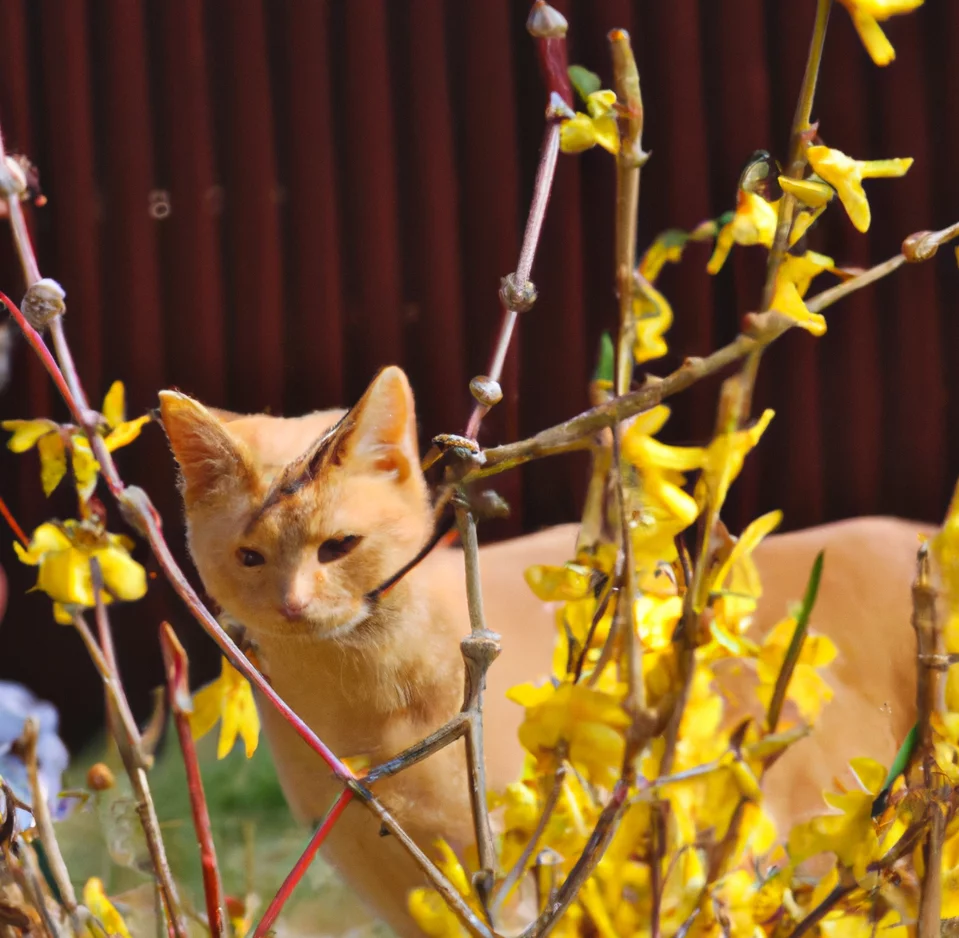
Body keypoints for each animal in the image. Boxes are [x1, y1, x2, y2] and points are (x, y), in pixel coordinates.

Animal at [159, 368, 928, 936]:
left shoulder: (518, 891)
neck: (361, 705)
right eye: (249, 558)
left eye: (337, 547)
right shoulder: (410, 900)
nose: (291, 604)